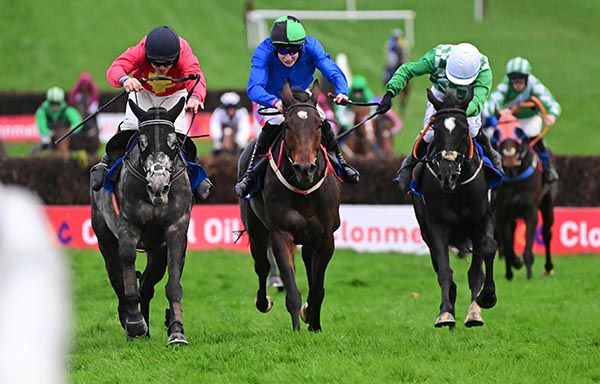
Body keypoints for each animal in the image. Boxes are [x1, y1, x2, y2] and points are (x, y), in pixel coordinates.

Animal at [91, 98, 192, 344]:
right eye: (142, 142)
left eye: (173, 143)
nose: (158, 186)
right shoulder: (128, 225)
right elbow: (127, 272)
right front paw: (135, 323)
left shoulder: (176, 228)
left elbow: (173, 280)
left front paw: (176, 331)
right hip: (104, 238)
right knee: (118, 279)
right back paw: (133, 324)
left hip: (156, 250)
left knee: (147, 284)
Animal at [239, 80, 342, 330]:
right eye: (287, 126)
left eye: (319, 125)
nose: (305, 169)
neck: (304, 189)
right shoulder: (281, 234)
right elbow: (292, 289)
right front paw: (297, 329)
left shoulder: (326, 238)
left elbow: (317, 288)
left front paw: (314, 324)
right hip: (256, 230)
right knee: (261, 265)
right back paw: (263, 301)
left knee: (307, 260)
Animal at [412, 88, 496, 328]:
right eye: (436, 128)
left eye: (465, 130)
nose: (447, 173)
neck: (457, 189)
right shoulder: (436, 226)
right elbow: (444, 269)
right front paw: (445, 313)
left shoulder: (482, 221)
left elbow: (484, 256)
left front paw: (484, 301)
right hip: (425, 231)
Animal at [494, 108, 556, 280]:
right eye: (496, 132)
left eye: (518, 131)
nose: (509, 155)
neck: (514, 176)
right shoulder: (501, 212)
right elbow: (507, 244)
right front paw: (514, 263)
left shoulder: (530, 210)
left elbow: (528, 240)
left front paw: (528, 268)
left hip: (547, 203)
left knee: (546, 233)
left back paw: (548, 267)